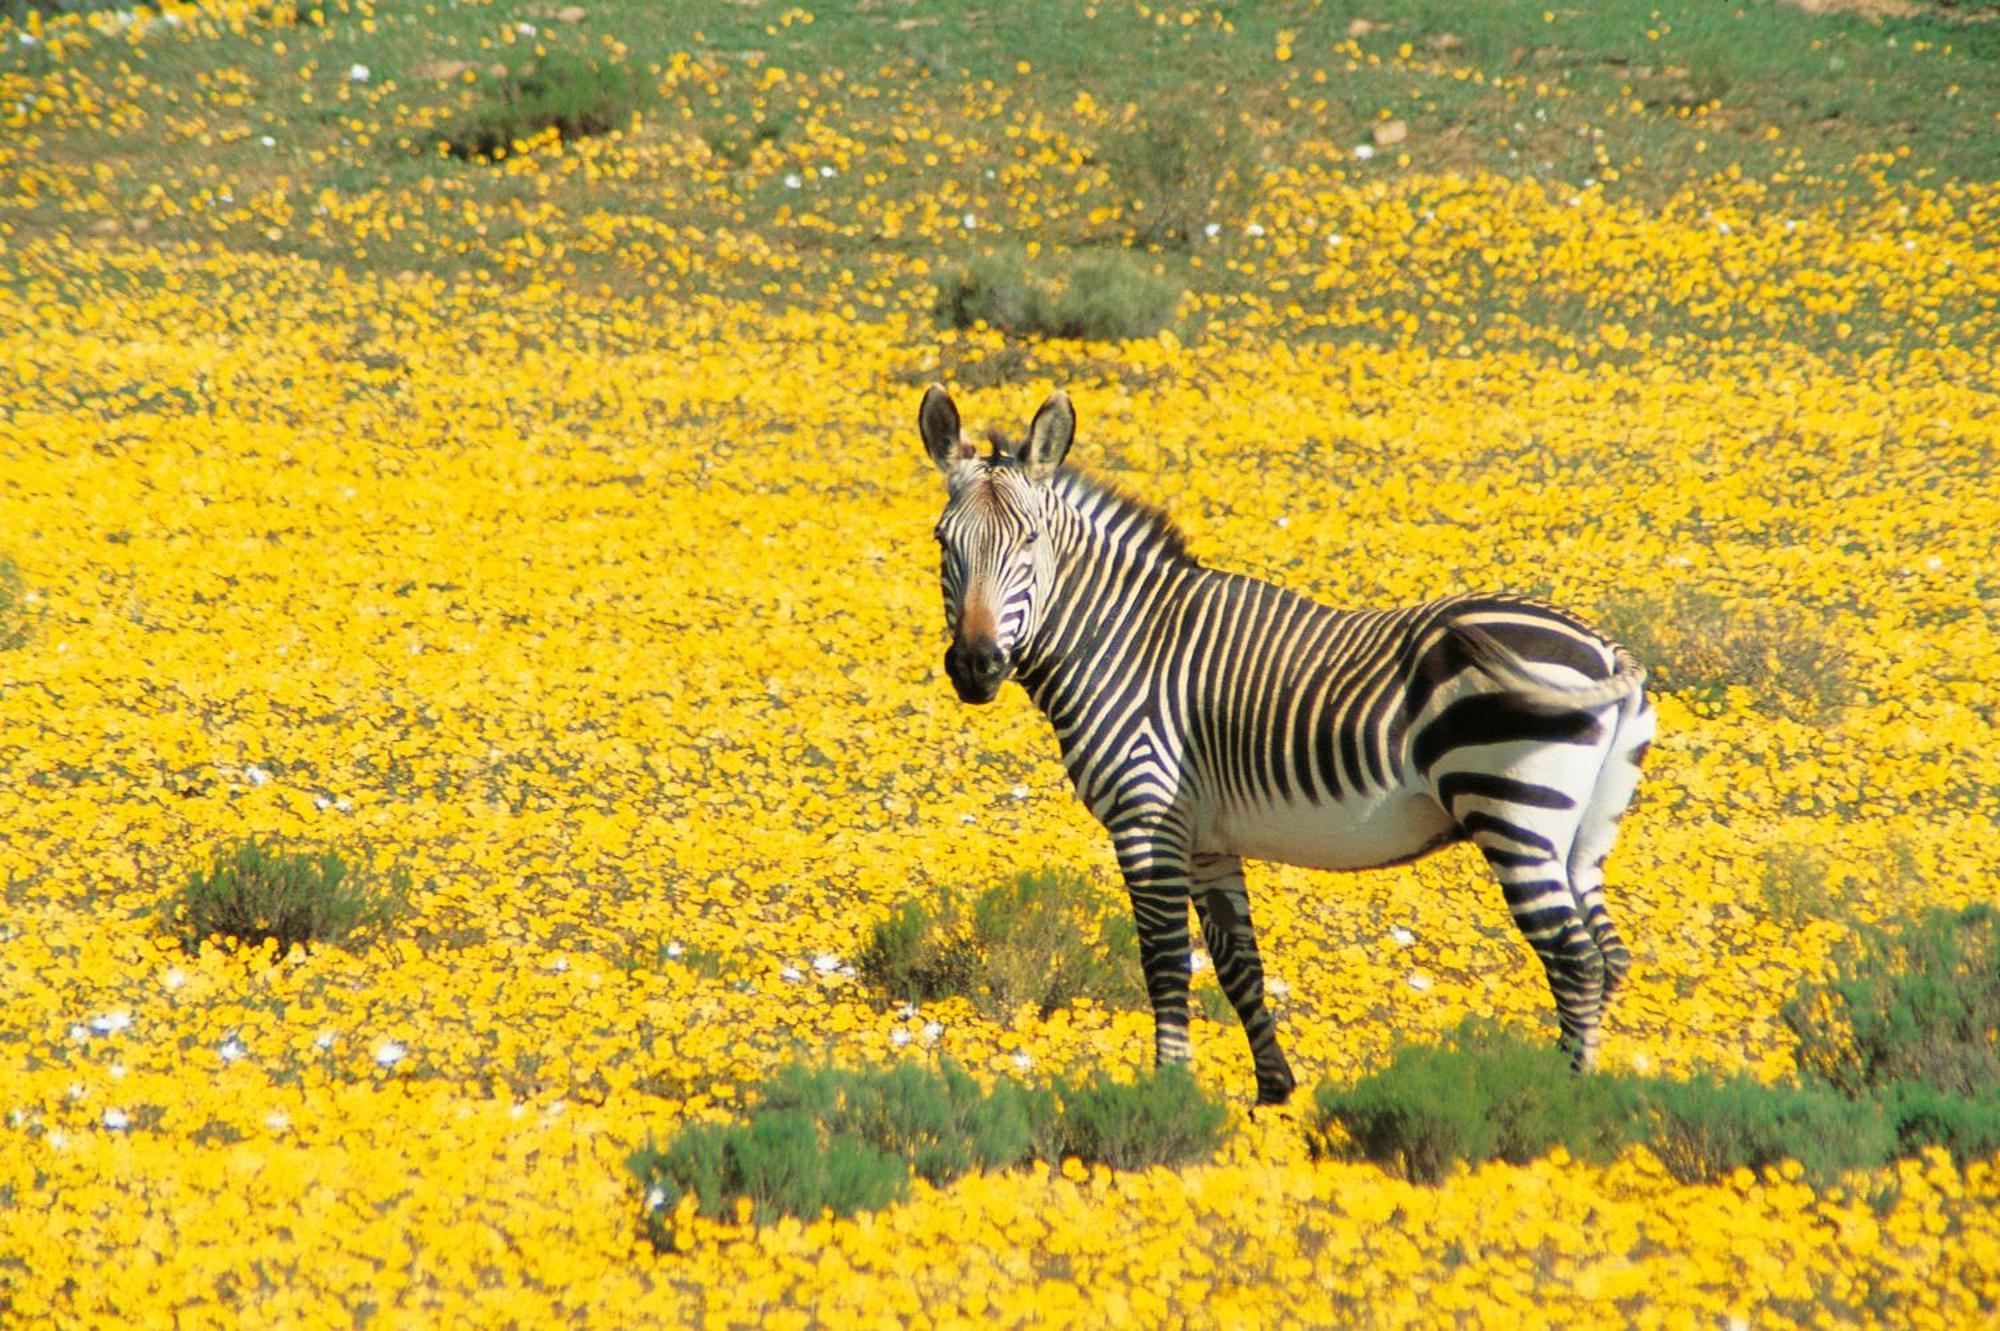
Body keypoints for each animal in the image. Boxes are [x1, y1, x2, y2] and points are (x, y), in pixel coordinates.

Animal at [920, 383, 1656, 1095]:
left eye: (1029, 541)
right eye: (942, 541)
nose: (975, 665)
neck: (1121, 638)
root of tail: (1607, 649)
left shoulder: (1146, 815)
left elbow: (1164, 962)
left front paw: (1170, 1096)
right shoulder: (1207, 838)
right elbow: (1236, 964)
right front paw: (1274, 1095)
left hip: (1514, 810)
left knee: (1574, 961)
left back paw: (1567, 1096)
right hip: (1582, 836)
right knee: (1609, 955)